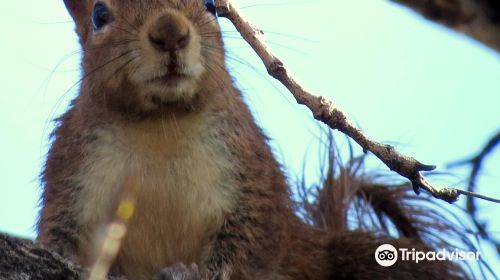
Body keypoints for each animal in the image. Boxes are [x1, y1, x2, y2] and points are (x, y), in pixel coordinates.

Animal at [37, 0, 466, 280]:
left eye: (211, 4)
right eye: (99, 14)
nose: (170, 32)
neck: (161, 125)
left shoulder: (251, 172)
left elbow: (254, 239)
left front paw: (196, 272)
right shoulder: (68, 175)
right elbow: (56, 239)